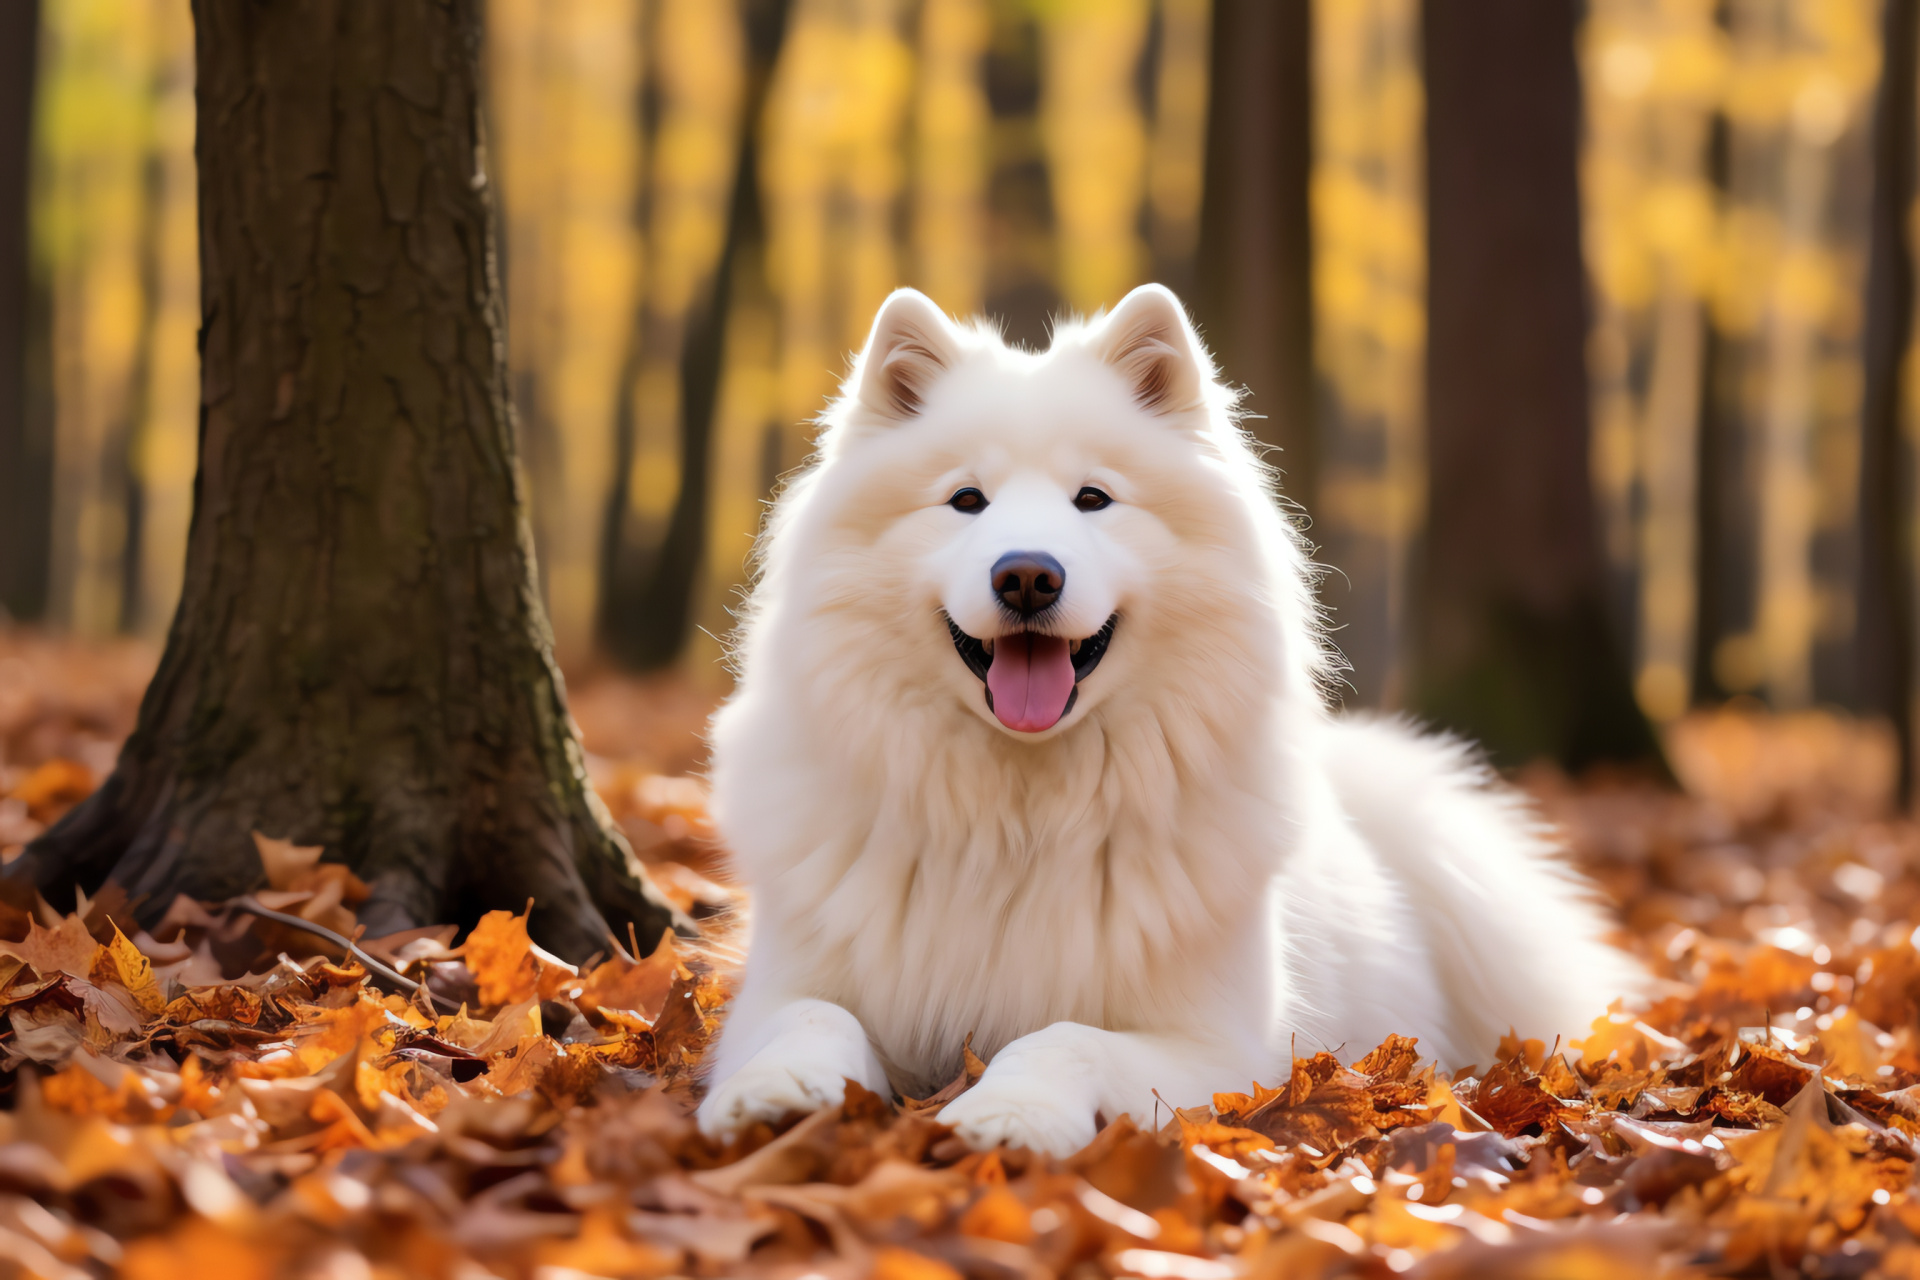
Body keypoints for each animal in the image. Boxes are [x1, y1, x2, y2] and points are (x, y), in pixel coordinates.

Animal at [691, 282, 1635, 1159]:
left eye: (1092, 499)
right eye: (965, 501)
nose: (1026, 575)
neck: (1015, 815)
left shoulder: (1219, 1050)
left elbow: (1060, 1036)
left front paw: (1009, 1114)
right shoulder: (783, 985)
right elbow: (814, 1017)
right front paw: (773, 1092)